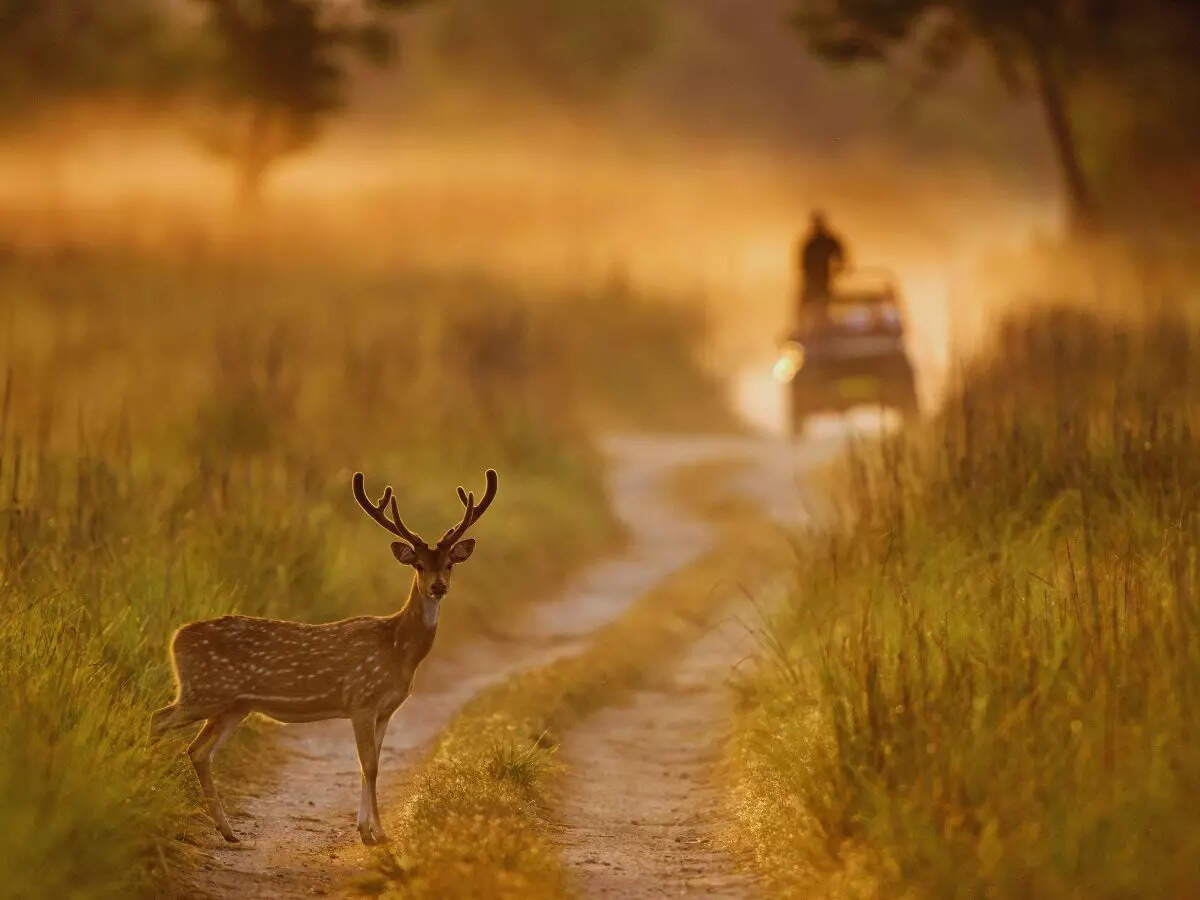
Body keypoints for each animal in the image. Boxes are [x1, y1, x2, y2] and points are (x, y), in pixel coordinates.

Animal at [149, 468, 498, 845]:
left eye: (449, 564)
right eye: (418, 565)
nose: (438, 587)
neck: (397, 649)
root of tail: (176, 638)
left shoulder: (385, 710)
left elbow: (372, 763)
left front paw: (367, 828)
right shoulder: (361, 700)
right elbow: (369, 765)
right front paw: (378, 833)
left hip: (234, 705)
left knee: (199, 750)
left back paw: (228, 831)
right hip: (204, 691)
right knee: (159, 719)